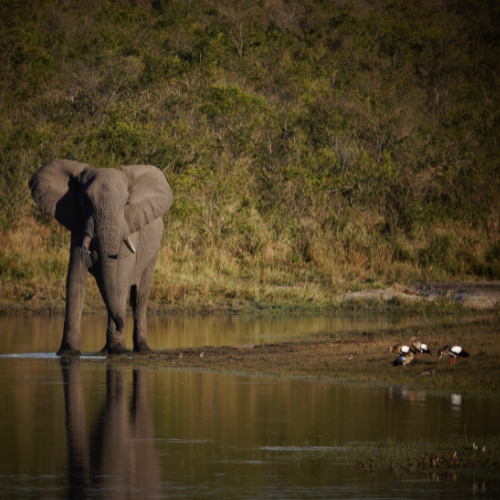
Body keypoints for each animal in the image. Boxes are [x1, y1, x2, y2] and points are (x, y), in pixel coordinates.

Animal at [29, 160, 174, 356]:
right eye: (83, 202)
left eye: (126, 203)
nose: (121, 325)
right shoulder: (78, 230)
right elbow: (75, 280)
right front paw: (68, 352)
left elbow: (119, 281)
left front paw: (118, 350)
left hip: (153, 251)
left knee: (139, 296)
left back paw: (142, 349)